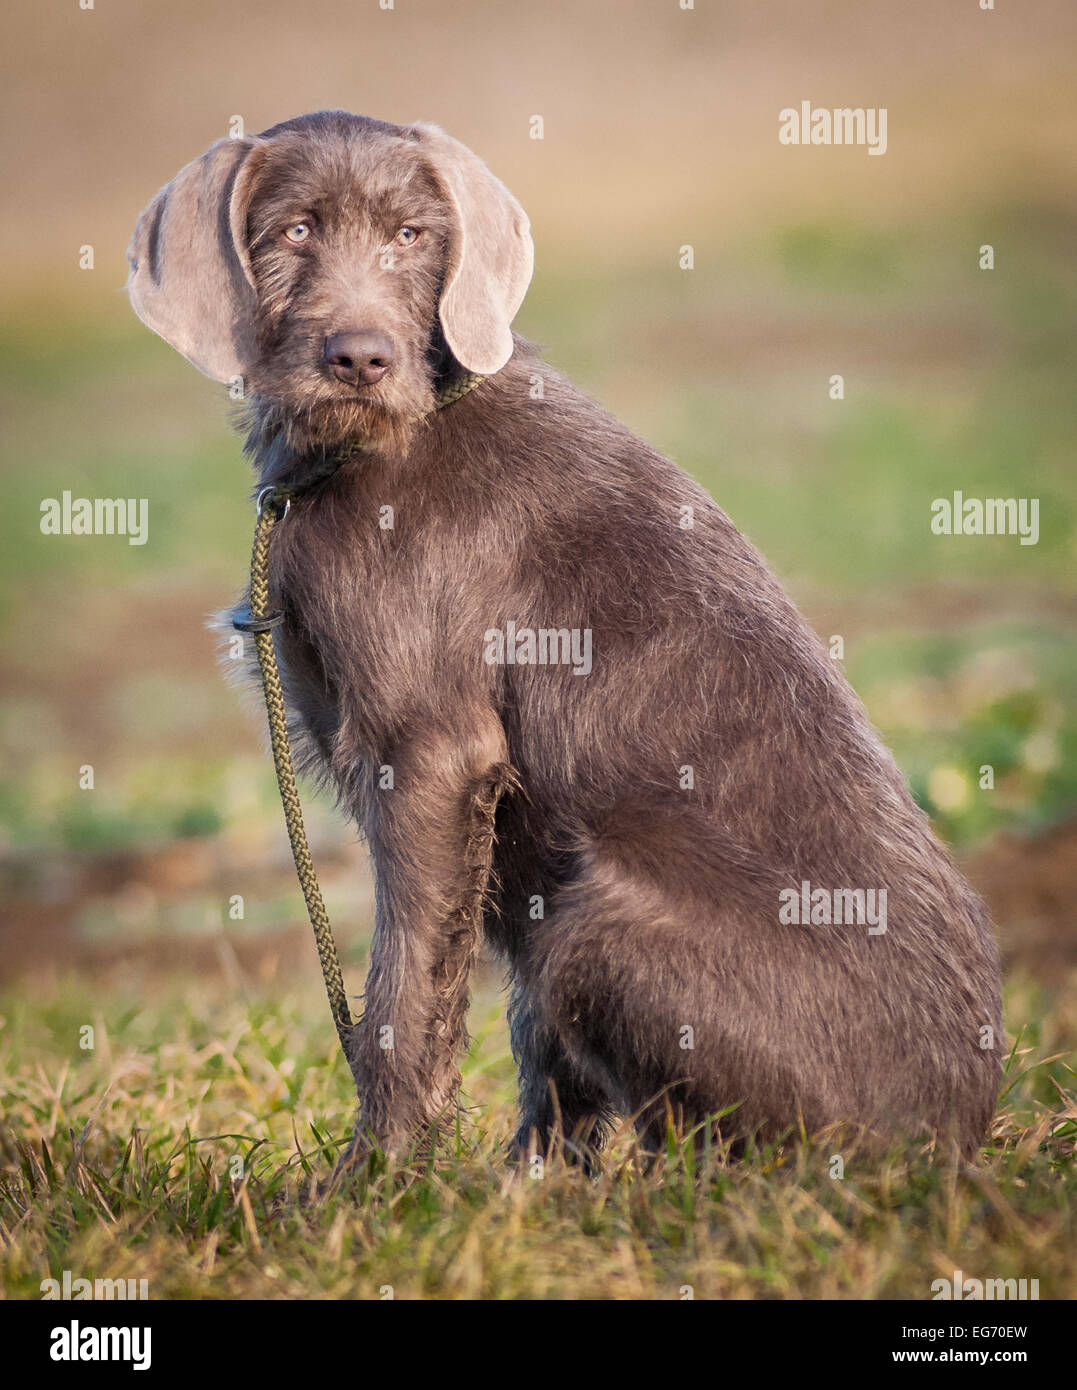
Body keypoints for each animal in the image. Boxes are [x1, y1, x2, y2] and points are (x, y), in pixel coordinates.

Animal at [126, 113, 1000, 1167]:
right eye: (293, 230)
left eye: (412, 236)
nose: (361, 358)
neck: (380, 440)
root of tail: (951, 1139)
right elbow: (520, 1040)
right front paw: (511, 1189)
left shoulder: (432, 755)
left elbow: (398, 999)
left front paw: (376, 1183)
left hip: (595, 919)